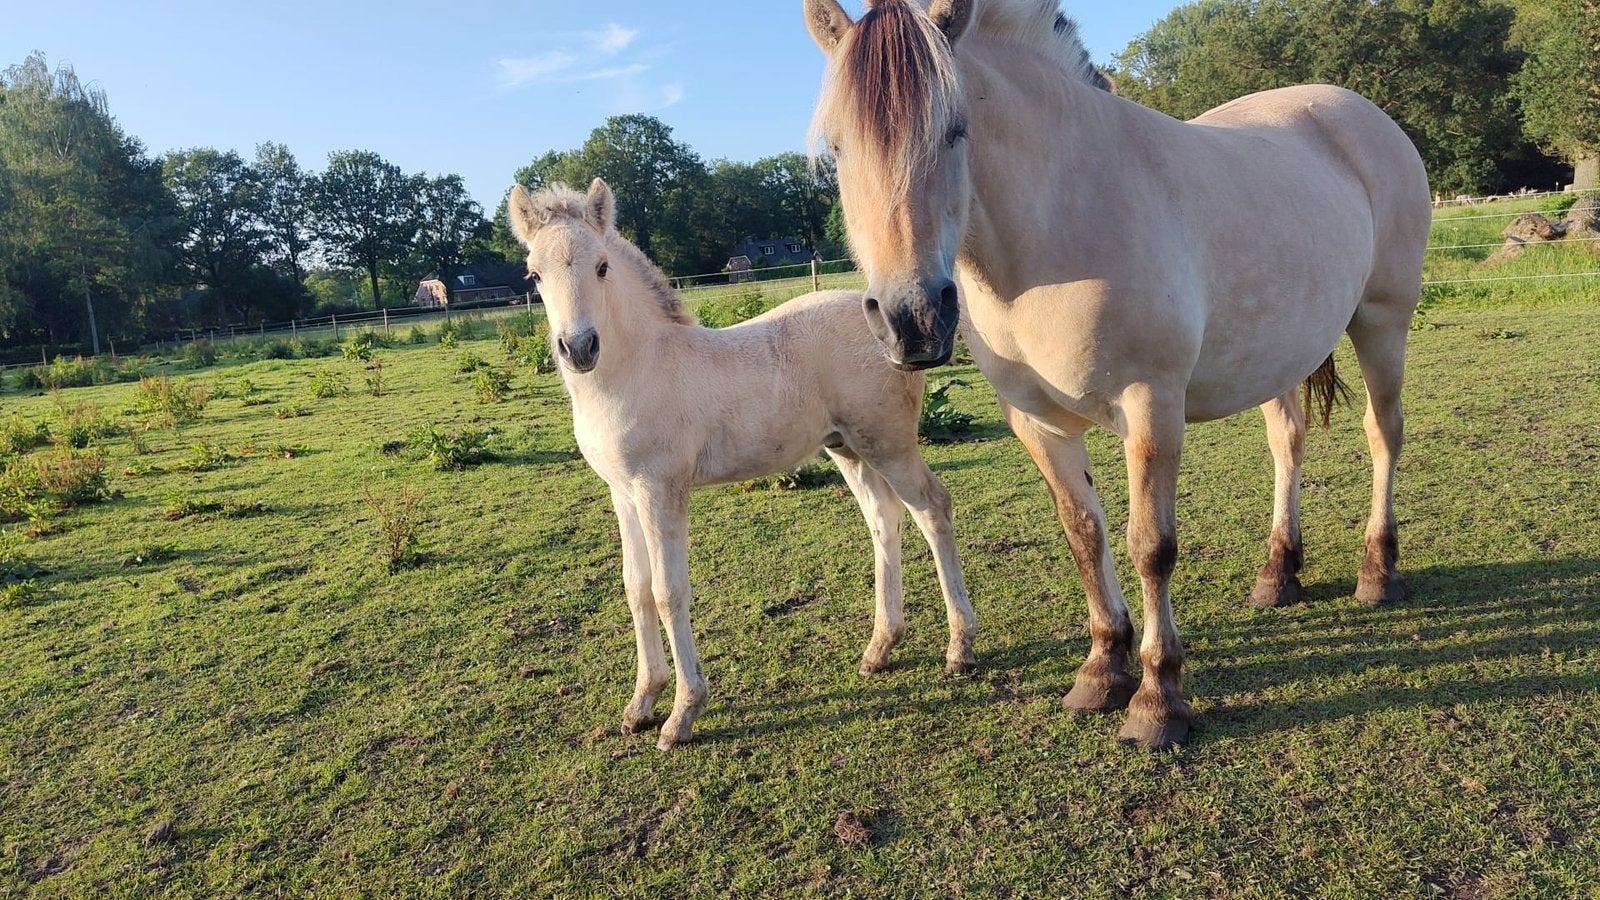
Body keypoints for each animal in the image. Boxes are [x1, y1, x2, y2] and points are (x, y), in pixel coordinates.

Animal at [506, 178, 978, 750]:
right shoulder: (623, 491)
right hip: (847, 447)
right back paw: (879, 649)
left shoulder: (660, 489)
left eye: (601, 266)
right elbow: (635, 588)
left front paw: (682, 714)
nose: (578, 348)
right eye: (534, 273)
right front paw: (640, 705)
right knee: (884, 520)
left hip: (889, 443)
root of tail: (890, 325)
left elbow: (668, 592)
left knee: (933, 509)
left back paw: (960, 648)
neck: (636, 369)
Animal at [803, 0, 1430, 748]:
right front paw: (1103, 667)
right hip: (1278, 352)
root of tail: (1359, 111)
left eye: (956, 131)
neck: (1061, 224)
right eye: (837, 148)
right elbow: (1084, 532)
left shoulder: (1151, 408)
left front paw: (1158, 700)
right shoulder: (1036, 422)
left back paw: (1378, 570)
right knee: (1289, 442)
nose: (912, 319)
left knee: (1384, 433)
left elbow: (1150, 546)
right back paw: (1278, 574)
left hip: (1383, 322)